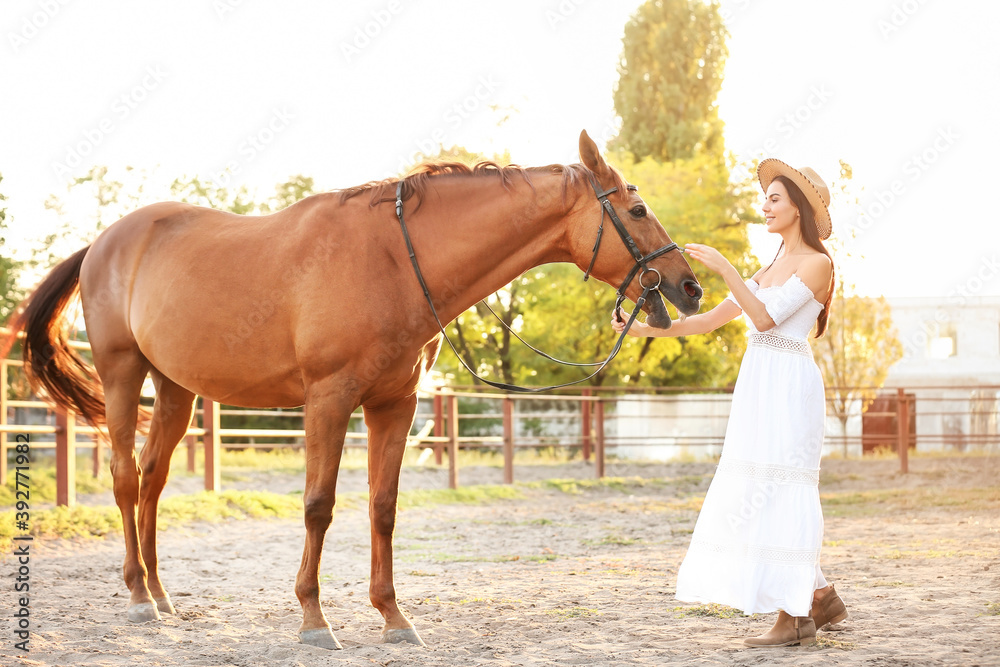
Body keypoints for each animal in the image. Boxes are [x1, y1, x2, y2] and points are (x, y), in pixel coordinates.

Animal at [5, 129, 704, 648]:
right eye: (637, 211)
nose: (689, 286)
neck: (395, 259)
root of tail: (105, 242)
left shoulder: (395, 406)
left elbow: (383, 507)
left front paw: (394, 618)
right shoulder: (329, 400)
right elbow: (319, 504)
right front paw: (315, 621)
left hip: (176, 389)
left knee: (152, 480)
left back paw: (160, 593)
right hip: (124, 375)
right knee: (126, 480)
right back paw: (136, 599)